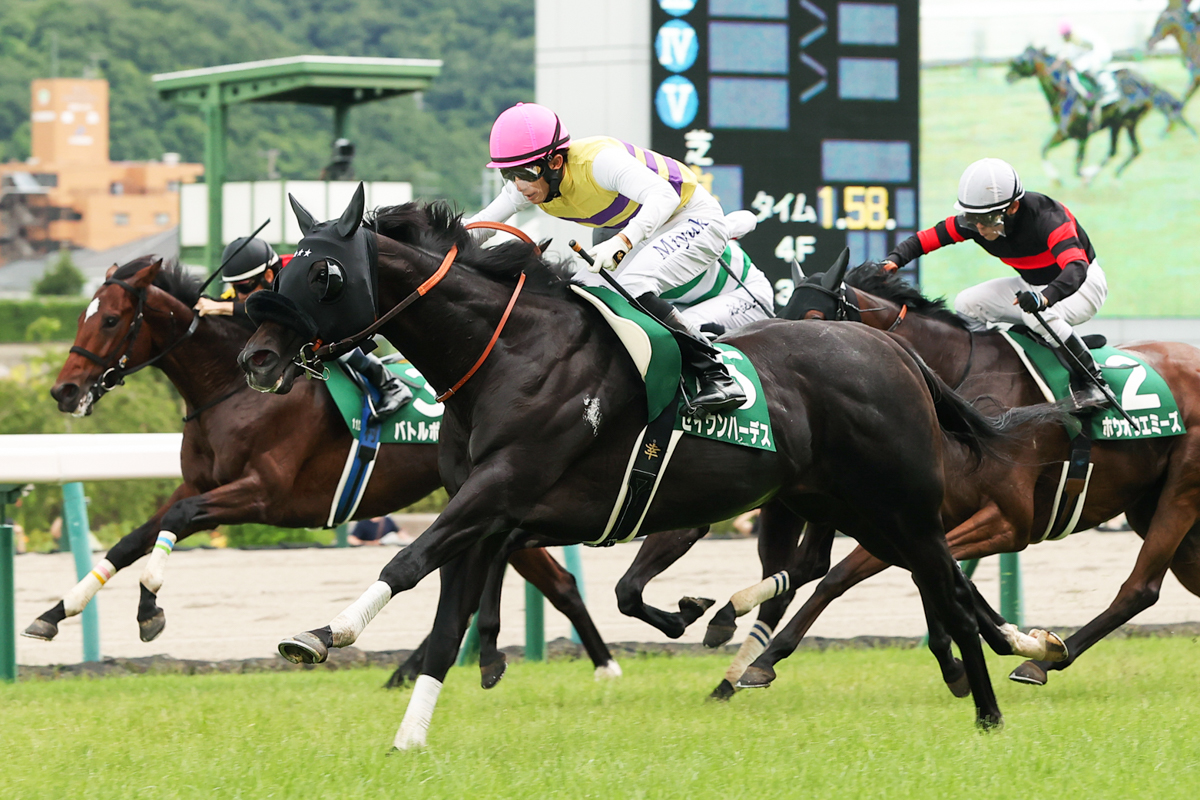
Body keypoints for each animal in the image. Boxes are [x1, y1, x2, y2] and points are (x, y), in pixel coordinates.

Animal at [30, 255, 619, 686]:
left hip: (490, 495)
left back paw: (605, 666)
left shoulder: (263, 494)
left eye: (110, 320)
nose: (64, 390)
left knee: (557, 583)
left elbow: (178, 519)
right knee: (538, 582)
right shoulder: (201, 482)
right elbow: (135, 538)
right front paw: (56, 613)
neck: (231, 389)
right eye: (82, 316)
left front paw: (149, 604)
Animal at [237, 190, 1065, 743]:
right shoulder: (491, 509)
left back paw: (992, 701)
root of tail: (893, 349)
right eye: (283, 271)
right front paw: (411, 736)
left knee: (940, 583)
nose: (256, 359)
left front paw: (322, 633)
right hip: (851, 505)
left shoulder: (501, 489)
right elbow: (449, 624)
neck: (507, 352)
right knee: (914, 578)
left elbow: (408, 561)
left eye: (326, 277)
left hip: (900, 504)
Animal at [770, 257, 1200, 688]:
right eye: (781, 314)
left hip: (1181, 492)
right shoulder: (916, 515)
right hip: (1147, 506)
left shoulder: (1010, 521)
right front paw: (768, 656)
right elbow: (855, 573)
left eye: (813, 318)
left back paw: (1040, 663)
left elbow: (915, 573)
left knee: (1140, 588)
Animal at [1007, 46, 1194, 183]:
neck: (1063, 92)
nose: (1007, 76)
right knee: (1129, 150)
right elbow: (1044, 150)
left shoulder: (1081, 135)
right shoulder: (1065, 133)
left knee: (1119, 151)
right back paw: (1112, 177)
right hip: (1122, 123)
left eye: (1020, 60)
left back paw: (1094, 176)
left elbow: (1077, 167)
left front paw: (1080, 176)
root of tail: (1146, 85)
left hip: (1123, 121)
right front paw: (1056, 179)